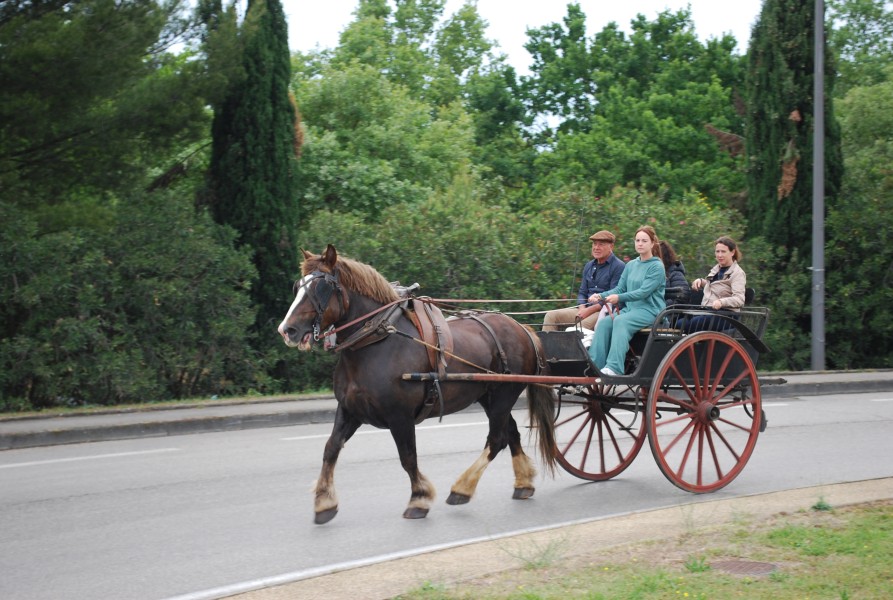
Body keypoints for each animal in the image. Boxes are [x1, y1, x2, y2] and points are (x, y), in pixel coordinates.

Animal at [278, 246, 556, 524]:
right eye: (297, 287)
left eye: (320, 288)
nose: (287, 330)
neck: (375, 341)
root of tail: (521, 327)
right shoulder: (350, 410)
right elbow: (331, 448)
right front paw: (324, 502)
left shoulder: (400, 416)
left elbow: (408, 457)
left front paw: (419, 499)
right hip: (489, 397)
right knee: (511, 433)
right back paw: (523, 483)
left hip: (503, 395)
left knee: (497, 439)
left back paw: (462, 488)